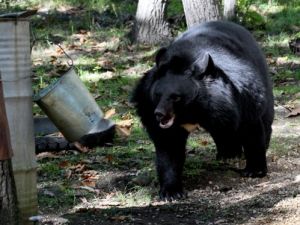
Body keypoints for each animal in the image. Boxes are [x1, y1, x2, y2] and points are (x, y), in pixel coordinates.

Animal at [131, 21, 274, 200]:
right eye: (157, 94)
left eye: (176, 97)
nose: (159, 114)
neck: (192, 110)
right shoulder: (148, 106)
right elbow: (168, 147)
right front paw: (171, 192)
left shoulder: (242, 98)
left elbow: (251, 129)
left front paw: (254, 171)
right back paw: (227, 154)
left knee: (264, 118)